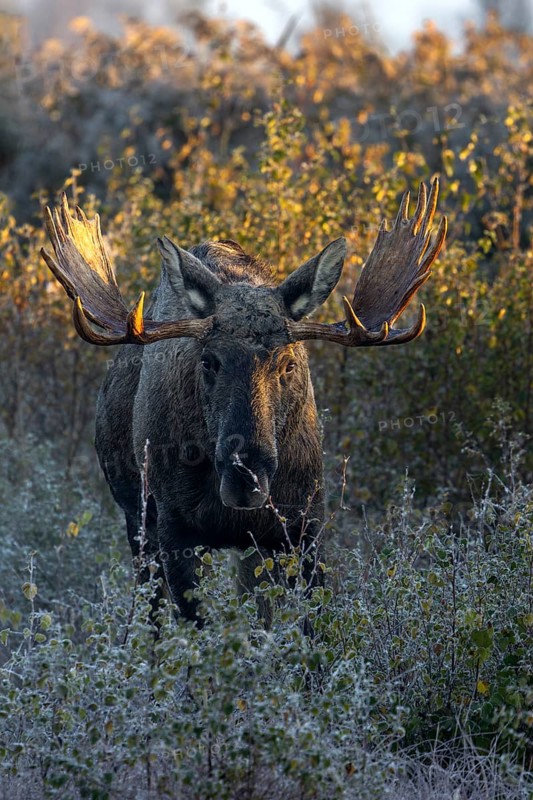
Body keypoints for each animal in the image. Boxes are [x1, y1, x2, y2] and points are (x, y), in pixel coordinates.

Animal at [41, 180, 446, 627]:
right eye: (208, 360)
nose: (245, 478)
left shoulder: (304, 524)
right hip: (135, 515)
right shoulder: (173, 528)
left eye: (289, 363)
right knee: (152, 613)